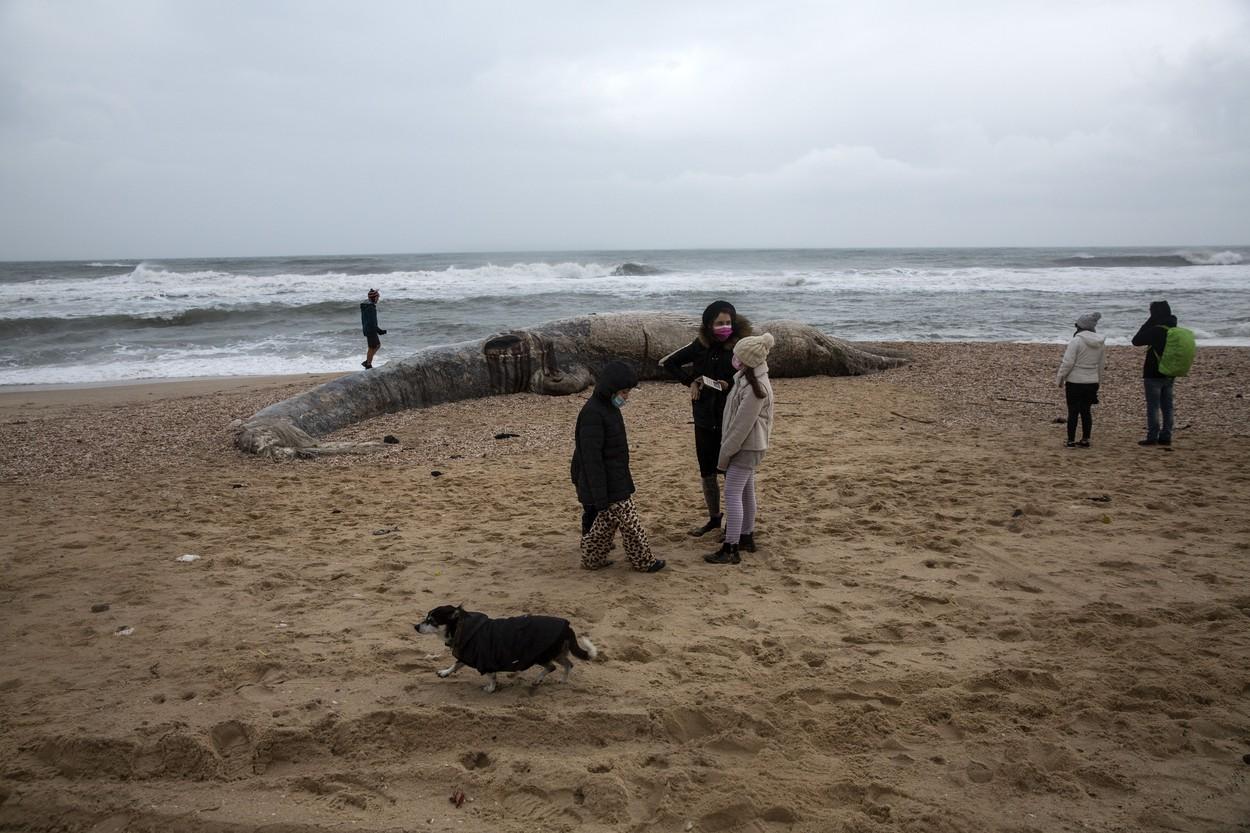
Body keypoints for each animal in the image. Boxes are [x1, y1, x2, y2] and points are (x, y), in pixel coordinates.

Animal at [415, 600, 600, 690]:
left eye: (431, 621)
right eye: (425, 618)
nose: (415, 626)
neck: (461, 627)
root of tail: (568, 627)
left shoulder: (485, 660)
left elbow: (491, 677)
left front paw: (490, 689)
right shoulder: (467, 655)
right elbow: (456, 665)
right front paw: (445, 672)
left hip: (541, 655)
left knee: (552, 667)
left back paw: (538, 680)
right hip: (557, 652)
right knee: (569, 664)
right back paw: (562, 680)